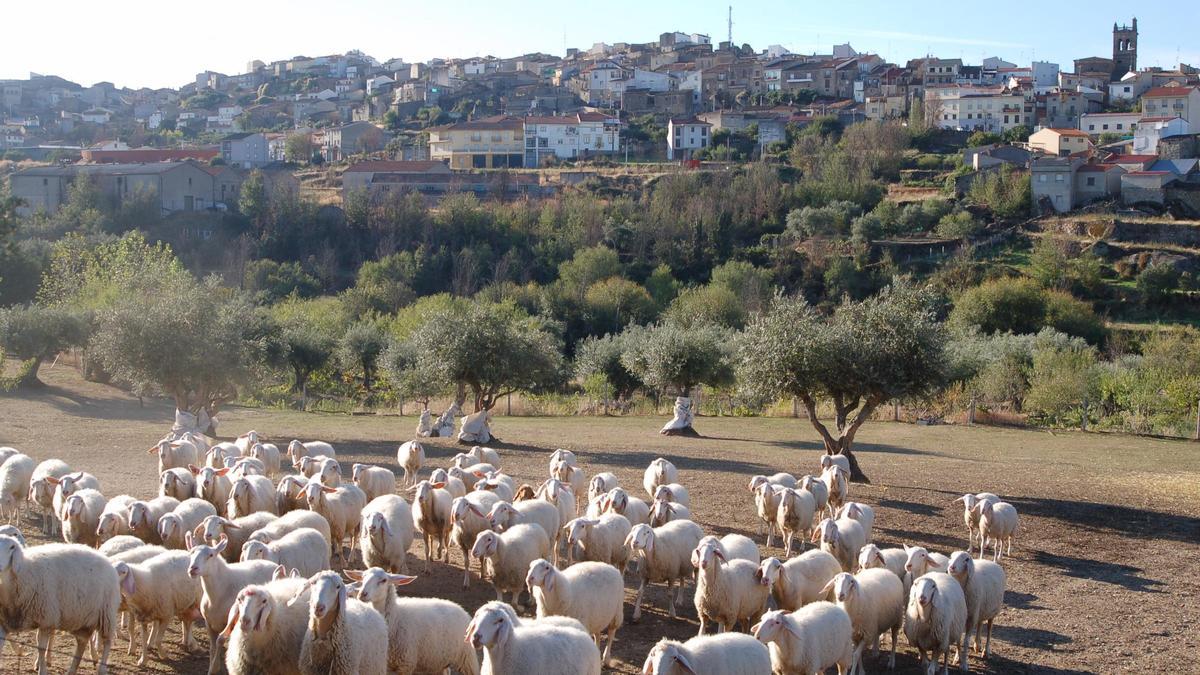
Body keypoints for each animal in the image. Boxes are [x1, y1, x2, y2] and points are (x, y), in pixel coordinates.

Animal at [0, 533, 119, 667]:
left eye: (12, 547)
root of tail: (105, 559)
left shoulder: (46, 618)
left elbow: (41, 648)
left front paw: (41, 665)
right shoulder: (5, 619)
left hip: (106, 612)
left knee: (107, 641)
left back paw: (101, 667)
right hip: (82, 617)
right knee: (82, 642)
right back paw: (74, 668)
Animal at [186, 533, 282, 667]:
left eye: (211, 555)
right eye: (191, 553)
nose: (193, 569)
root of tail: (270, 563)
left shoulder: (232, 621)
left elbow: (221, 641)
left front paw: (216, 666)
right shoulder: (208, 623)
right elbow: (212, 648)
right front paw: (211, 667)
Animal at [345, 564, 480, 672]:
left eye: (383, 580)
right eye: (362, 578)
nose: (362, 594)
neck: (396, 618)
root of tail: (458, 606)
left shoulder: (406, 664)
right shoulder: (387, 665)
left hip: (467, 658)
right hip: (437, 661)